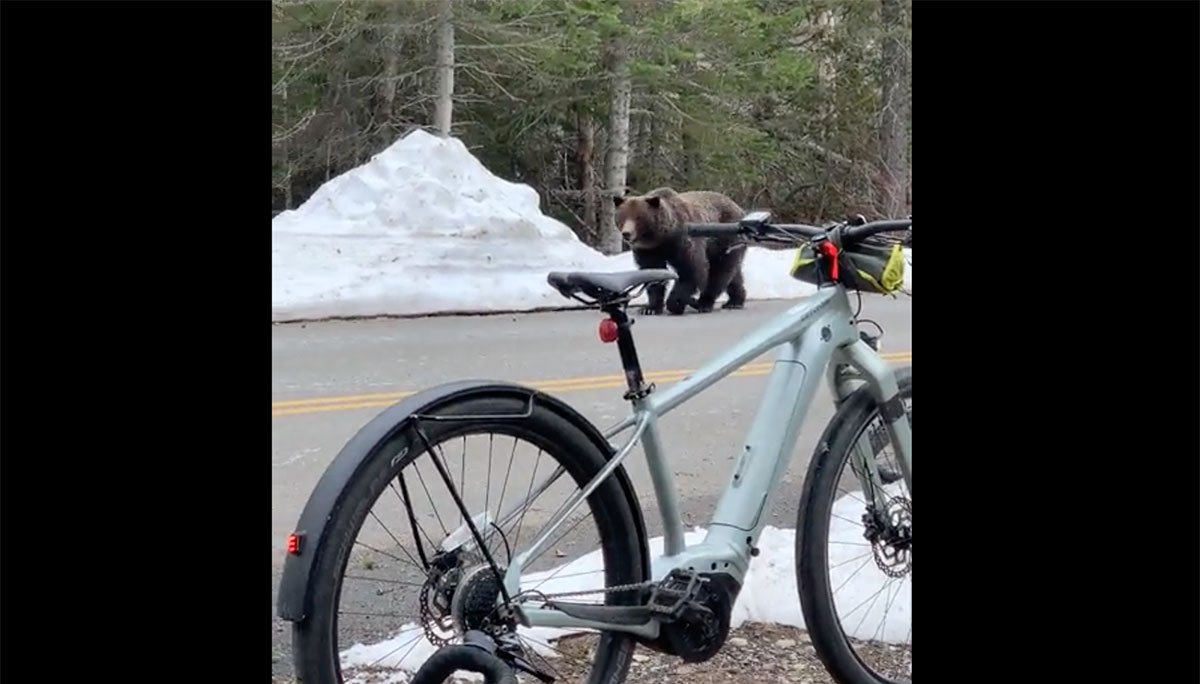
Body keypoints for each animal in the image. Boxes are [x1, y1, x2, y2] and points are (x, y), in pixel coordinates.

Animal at [614, 186, 744, 314]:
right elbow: (652, 273)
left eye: (639, 217)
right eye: (622, 217)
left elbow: (691, 269)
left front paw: (675, 303)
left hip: (724, 237)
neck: (662, 238)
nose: (627, 233)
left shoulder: (683, 242)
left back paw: (705, 303)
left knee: (720, 270)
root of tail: (738, 207)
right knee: (733, 274)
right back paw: (734, 301)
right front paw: (650, 308)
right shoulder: (649, 250)